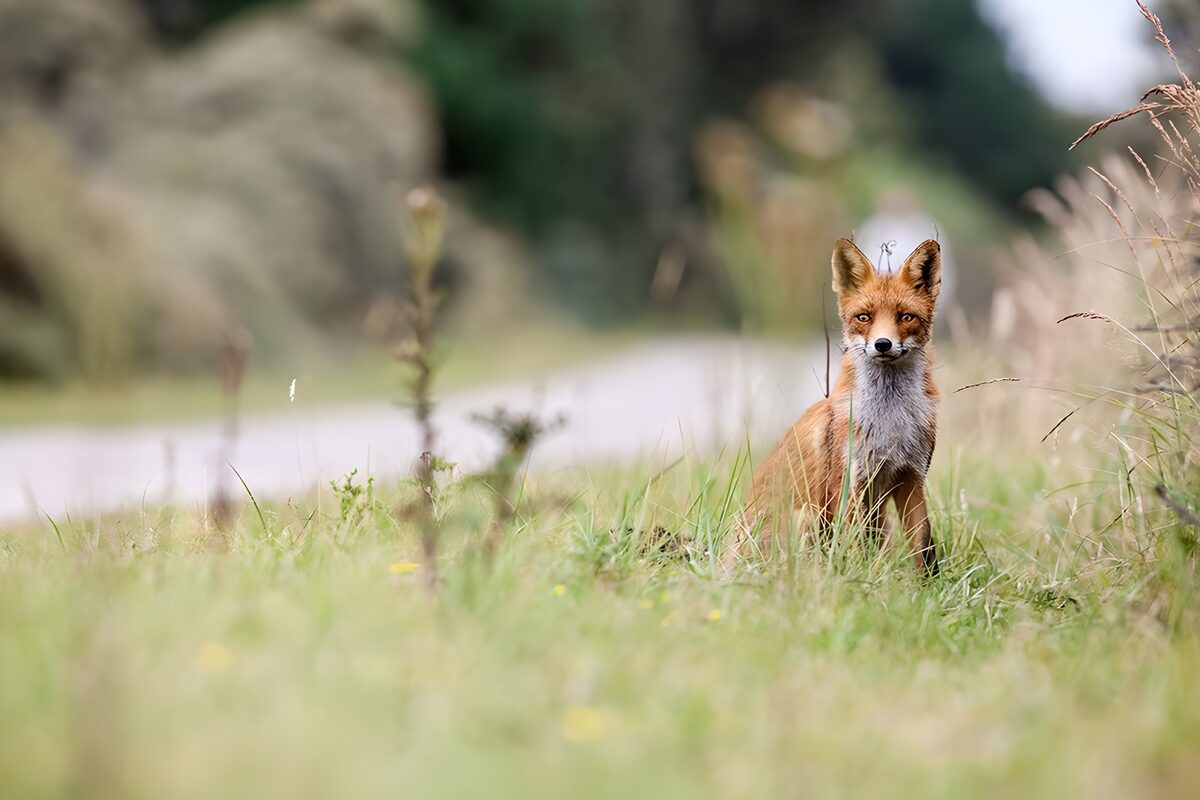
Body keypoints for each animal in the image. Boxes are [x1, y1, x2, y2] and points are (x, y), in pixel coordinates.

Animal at [734, 237, 942, 575]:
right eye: (864, 317)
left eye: (906, 317)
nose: (882, 344)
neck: (890, 423)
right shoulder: (847, 483)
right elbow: (856, 547)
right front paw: (860, 580)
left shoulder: (911, 477)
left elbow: (924, 546)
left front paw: (927, 586)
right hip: (803, 516)